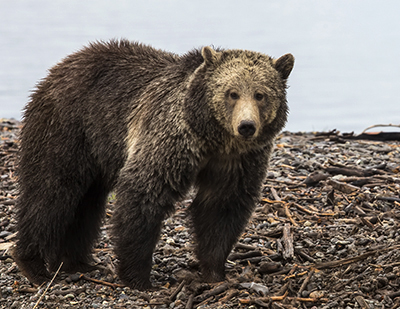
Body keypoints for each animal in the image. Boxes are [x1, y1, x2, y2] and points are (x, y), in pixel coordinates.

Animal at [14, 39, 294, 288]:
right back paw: (34, 265)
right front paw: (138, 277)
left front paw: (214, 270)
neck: (213, 139)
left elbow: (222, 207)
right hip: (68, 128)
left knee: (86, 205)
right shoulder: (171, 139)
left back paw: (76, 262)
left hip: (97, 151)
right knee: (51, 192)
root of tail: (63, 65)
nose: (246, 126)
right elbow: (145, 191)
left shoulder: (236, 162)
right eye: (232, 93)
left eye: (260, 94)